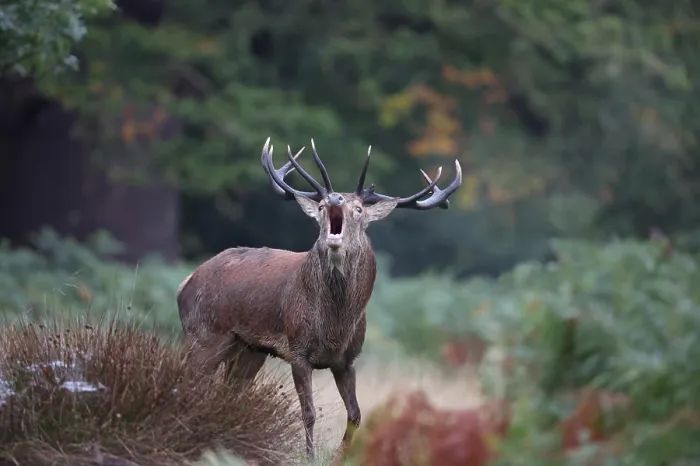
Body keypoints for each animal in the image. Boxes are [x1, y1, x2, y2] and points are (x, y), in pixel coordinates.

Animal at [176, 137, 462, 461]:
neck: (335, 324)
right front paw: (310, 457)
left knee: (231, 393)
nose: (335, 198)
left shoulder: (347, 359)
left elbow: (356, 415)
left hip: (249, 349)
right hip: (204, 333)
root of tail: (186, 282)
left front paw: (341, 457)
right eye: (323, 206)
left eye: (359, 208)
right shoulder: (298, 351)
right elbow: (309, 413)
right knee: (189, 383)